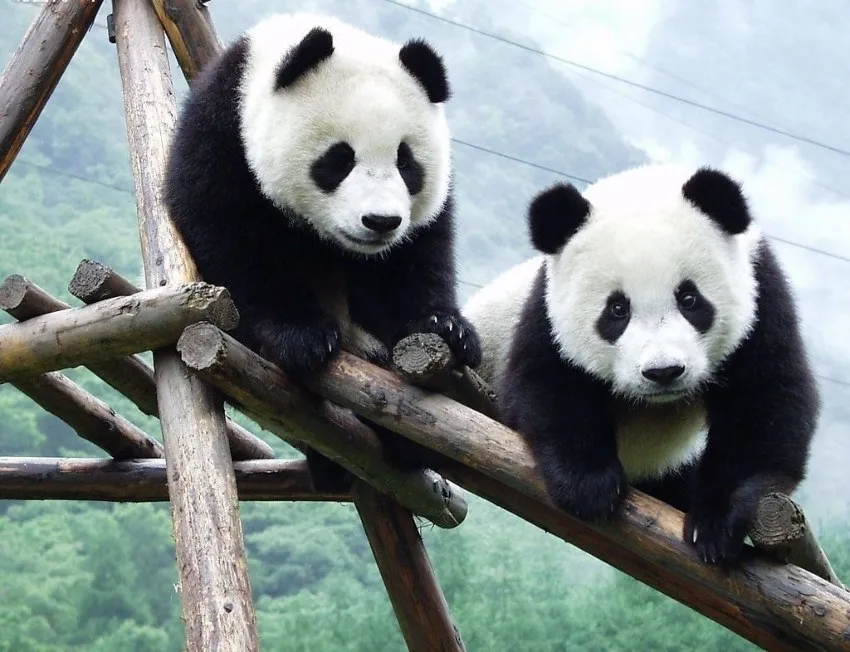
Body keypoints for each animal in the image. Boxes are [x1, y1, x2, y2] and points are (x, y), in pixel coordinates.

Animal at [163, 13, 481, 487]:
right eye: (340, 158)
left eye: (406, 162)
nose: (380, 222)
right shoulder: (224, 134)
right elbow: (232, 236)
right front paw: (301, 336)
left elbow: (415, 259)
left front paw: (446, 327)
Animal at [463, 164, 820, 564]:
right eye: (617, 309)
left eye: (689, 299)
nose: (663, 372)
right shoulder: (546, 309)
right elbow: (544, 384)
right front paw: (589, 486)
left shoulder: (762, 293)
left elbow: (765, 403)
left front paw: (716, 524)